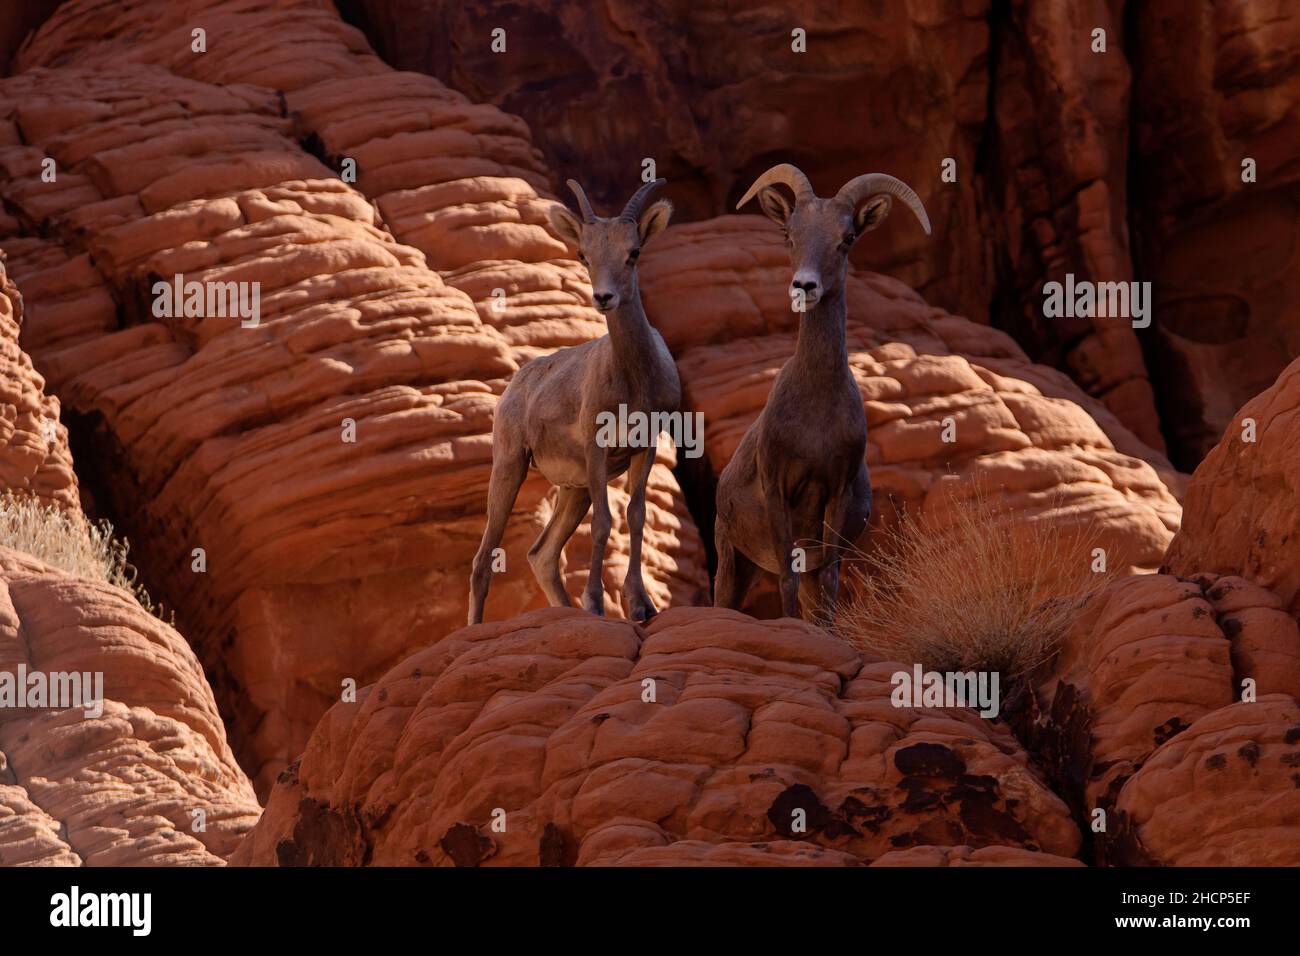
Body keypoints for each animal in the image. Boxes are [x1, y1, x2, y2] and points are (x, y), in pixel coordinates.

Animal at [468, 178, 678, 625]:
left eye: (633, 252)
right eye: (584, 254)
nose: (604, 297)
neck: (633, 379)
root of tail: (517, 384)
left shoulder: (645, 447)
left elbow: (635, 517)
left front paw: (641, 606)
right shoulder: (596, 449)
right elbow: (604, 524)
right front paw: (597, 604)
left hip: (571, 490)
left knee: (542, 554)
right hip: (510, 465)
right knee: (484, 557)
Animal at [713, 163, 931, 622]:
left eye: (847, 238)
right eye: (790, 234)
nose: (805, 286)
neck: (815, 419)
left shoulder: (837, 493)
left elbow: (829, 580)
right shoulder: (777, 490)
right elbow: (786, 578)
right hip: (733, 558)